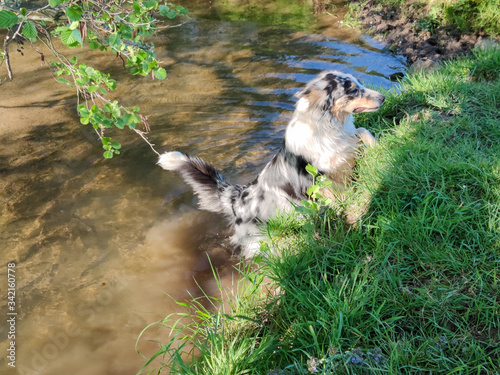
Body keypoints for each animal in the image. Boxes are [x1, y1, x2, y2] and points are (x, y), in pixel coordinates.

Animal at [158, 70, 384, 258]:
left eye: (359, 83)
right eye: (352, 90)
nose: (382, 97)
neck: (328, 127)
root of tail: (236, 198)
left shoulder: (347, 148)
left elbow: (363, 131)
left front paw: (380, 149)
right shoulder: (320, 177)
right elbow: (340, 194)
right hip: (259, 239)